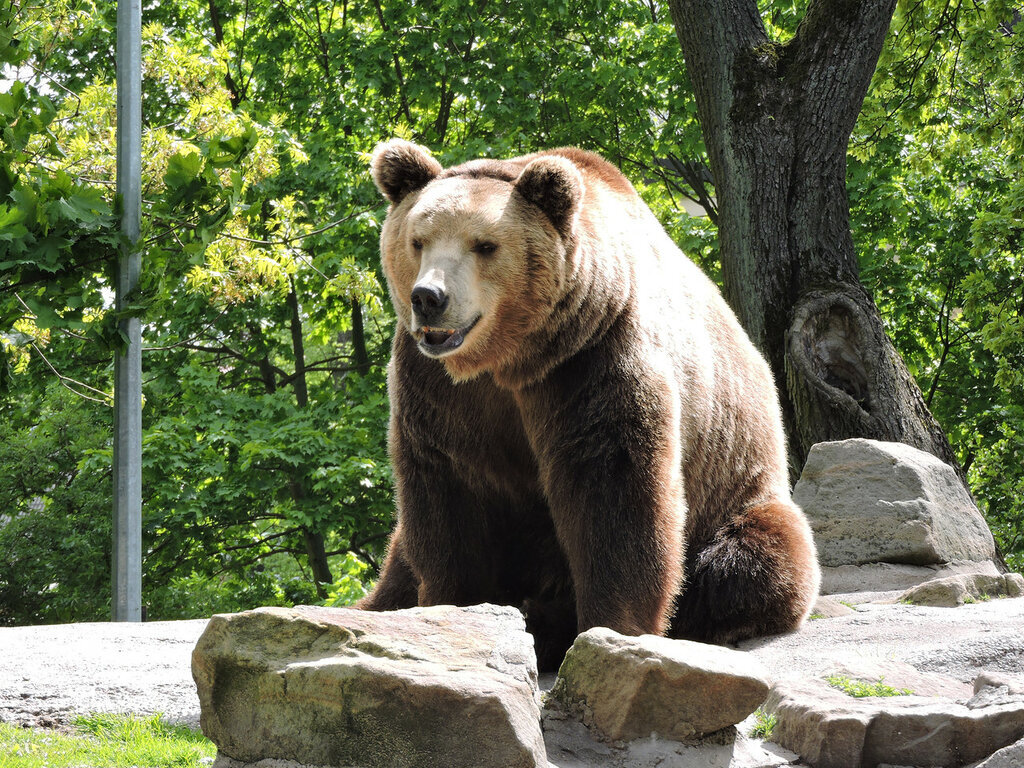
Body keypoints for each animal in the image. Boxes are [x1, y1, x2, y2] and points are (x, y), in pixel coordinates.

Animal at [360, 141, 823, 671]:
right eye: (419, 240)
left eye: (485, 245)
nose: (429, 298)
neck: (509, 359)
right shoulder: (440, 390)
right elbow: (449, 496)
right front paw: (457, 612)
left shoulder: (590, 359)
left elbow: (613, 492)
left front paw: (608, 630)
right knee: (398, 563)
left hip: (737, 486)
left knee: (750, 563)